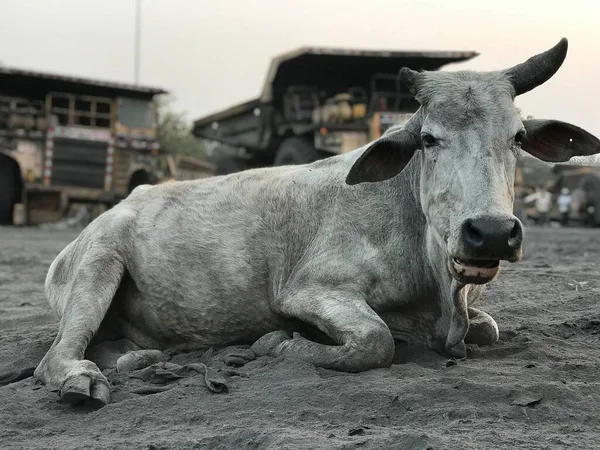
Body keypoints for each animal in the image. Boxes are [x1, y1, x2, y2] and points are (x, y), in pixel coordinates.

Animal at [31, 37, 600, 408]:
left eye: (518, 137)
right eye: (428, 139)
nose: (491, 232)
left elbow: (487, 328)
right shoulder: (308, 290)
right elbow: (375, 341)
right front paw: (277, 343)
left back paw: (144, 361)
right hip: (97, 267)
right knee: (55, 357)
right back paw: (81, 380)